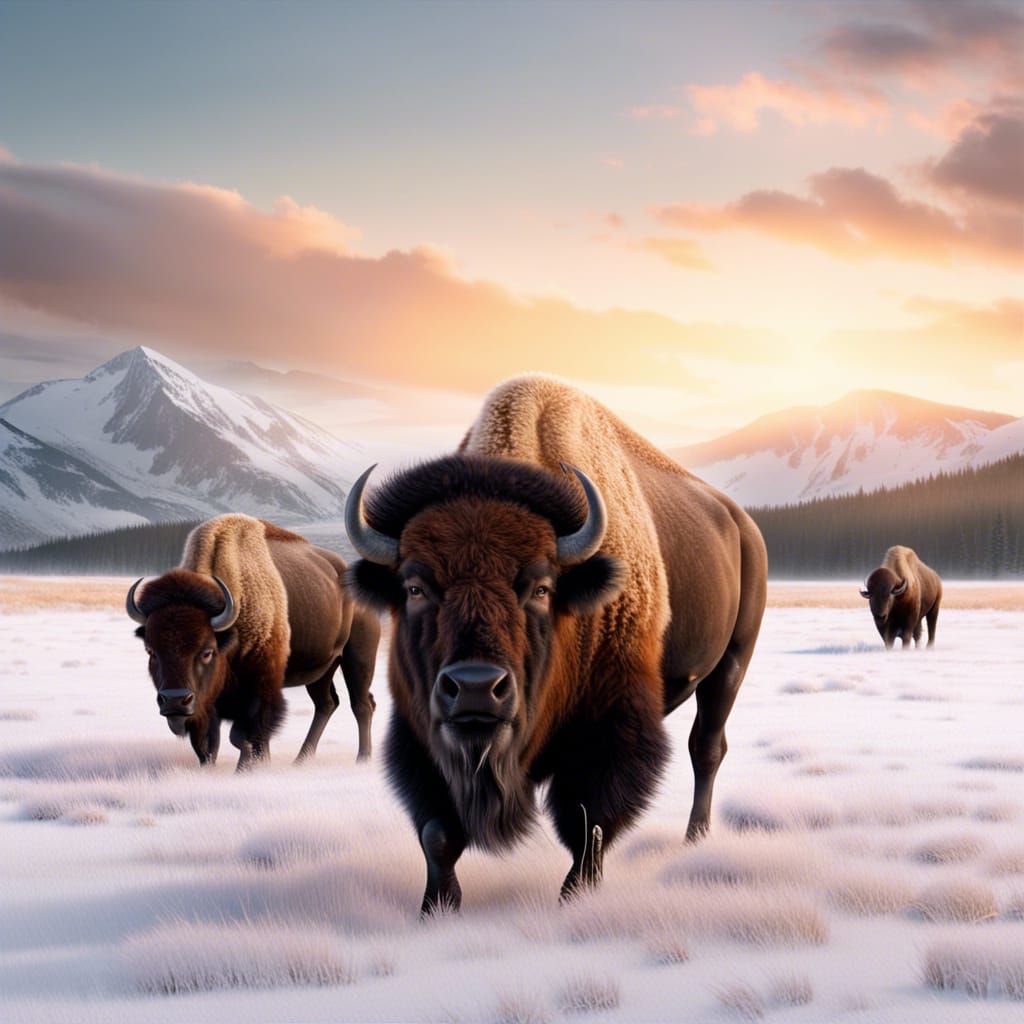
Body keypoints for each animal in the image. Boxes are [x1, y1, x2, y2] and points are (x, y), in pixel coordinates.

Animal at [127, 515, 380, 768]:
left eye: (207, 652)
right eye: (151, 651)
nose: (175, 701)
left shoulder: (259, 688)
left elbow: (242, 736)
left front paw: (251, 766)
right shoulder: (208, 705)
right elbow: (207, 744)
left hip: (358, 659)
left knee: (362, 705)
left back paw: (363, 758)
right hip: (322, 670)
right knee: (326, 703)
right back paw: (301, 760)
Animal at [345, 375, 767, 912]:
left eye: (542, 588)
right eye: (415, 587)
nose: (476, 688)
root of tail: (742, 525)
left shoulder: (609, 726)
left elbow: (589, 821)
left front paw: (574, 896)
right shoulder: (421, 732)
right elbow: (438, 831)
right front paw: (436, 907)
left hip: (731, 664)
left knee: (706, 748)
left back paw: (695, 838)